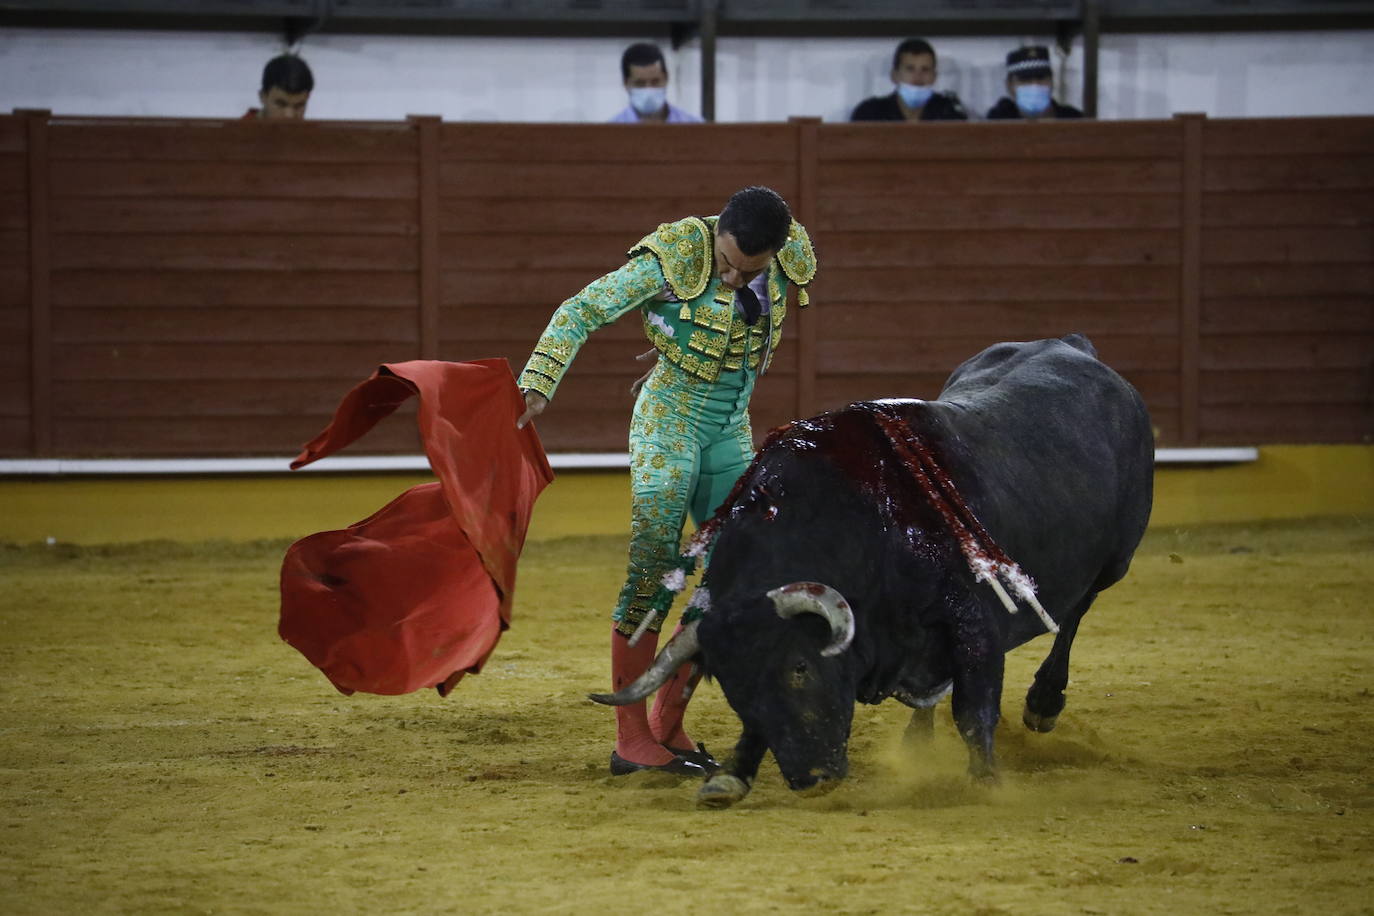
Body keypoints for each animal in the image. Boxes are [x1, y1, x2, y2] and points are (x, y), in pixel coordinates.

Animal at [596, 333, 1154, 807]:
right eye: (734, 690)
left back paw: (1043, 702)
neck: (858, 524)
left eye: (800, 668)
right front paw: (732, 775)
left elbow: (974, 710)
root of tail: (1073, 345)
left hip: (1115, 559)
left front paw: (987, 784)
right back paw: (918, 741)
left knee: (1077, 610)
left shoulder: (973, 621)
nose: (812, 779)